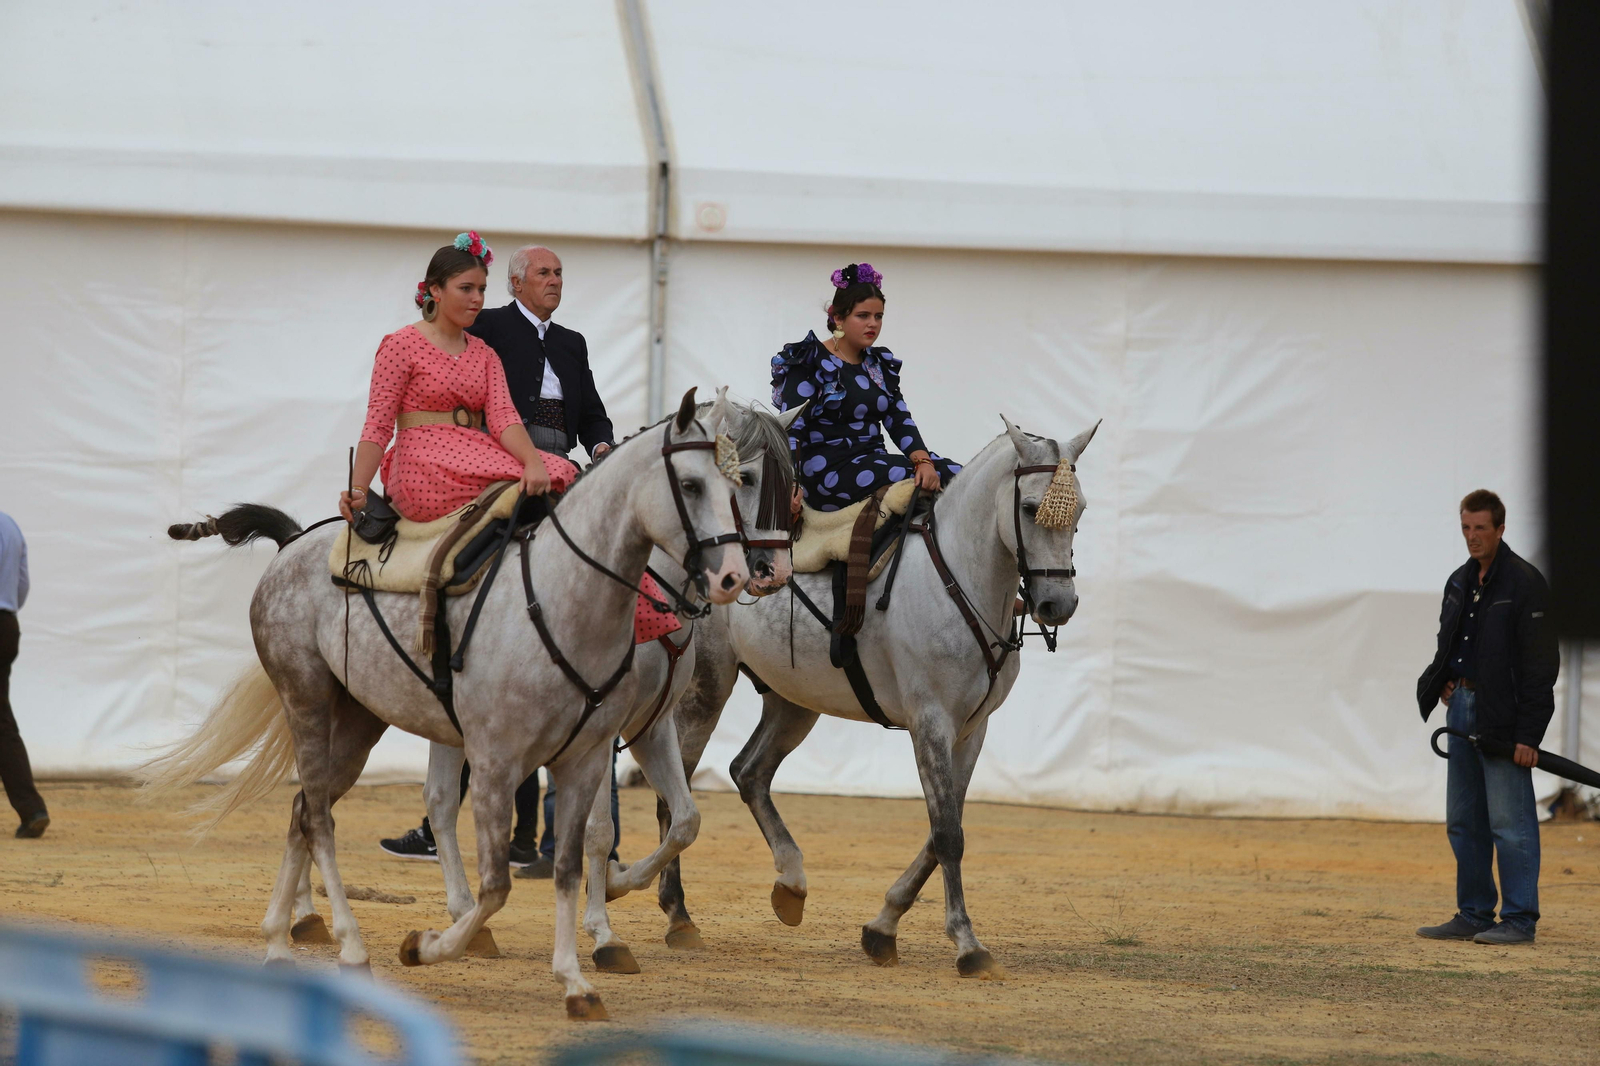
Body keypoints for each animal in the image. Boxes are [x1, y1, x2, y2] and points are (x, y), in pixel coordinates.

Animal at [142, 389, 749, 1020]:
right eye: (691, 484)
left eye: (735, 486)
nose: (737, 575)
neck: (563, 596)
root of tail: (293, 546)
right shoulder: (497, 761)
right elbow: (499, 883)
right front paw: (428, 945)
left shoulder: (593, 752)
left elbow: (579, 858)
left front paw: (577, 981)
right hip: (306, 699)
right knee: (323, 819)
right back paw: (350, 946)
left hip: (357, 722)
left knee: (305, 809)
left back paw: (279, 944)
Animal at [626, 417, 1098, 978]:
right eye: (1029, 508)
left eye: (1080, 511)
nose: (1057, 605)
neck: (959, 577)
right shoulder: (930, 723)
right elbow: (947, 833)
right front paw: (967, 944)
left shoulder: (971, 730)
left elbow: (945, 828)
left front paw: (882, 928)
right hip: (706, 690)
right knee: (672, 794)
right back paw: (679, 916)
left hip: (794, 702)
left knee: (749, 772)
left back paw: (790, 885)